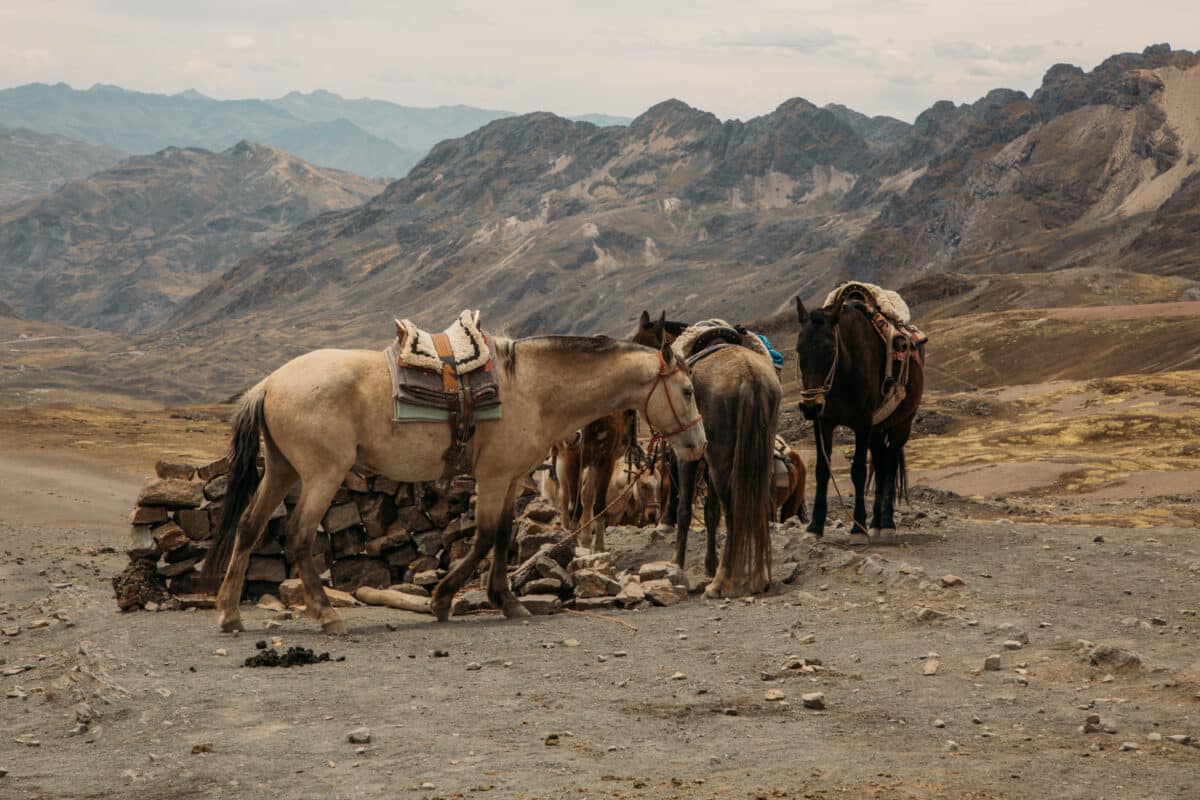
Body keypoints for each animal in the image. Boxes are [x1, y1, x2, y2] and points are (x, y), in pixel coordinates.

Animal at [195, 333, 700, 633]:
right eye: (689, 390)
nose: (698, 444)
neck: (533, 389)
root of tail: (270, 383)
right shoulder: (492, 477)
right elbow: (484, 537)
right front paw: (442, 600)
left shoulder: (511, 478)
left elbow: (502, 536)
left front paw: (506, 600)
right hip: (321, 474)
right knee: (298, 535)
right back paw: (327, 613)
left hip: (281, 470)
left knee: (249, 527)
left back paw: (230, 613)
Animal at [796, 293, 926, 537]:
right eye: (799, 350)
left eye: (830, 350)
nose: (810, 407)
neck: (842, 374)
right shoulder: (823, 422)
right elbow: (822, 469)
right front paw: (815, 526)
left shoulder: (862, 423)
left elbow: (858, 471)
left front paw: (858, 527)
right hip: (877, 430)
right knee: (882, 465)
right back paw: (876, 522)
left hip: (901, 425)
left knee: (890, 465)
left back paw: (886, 523)